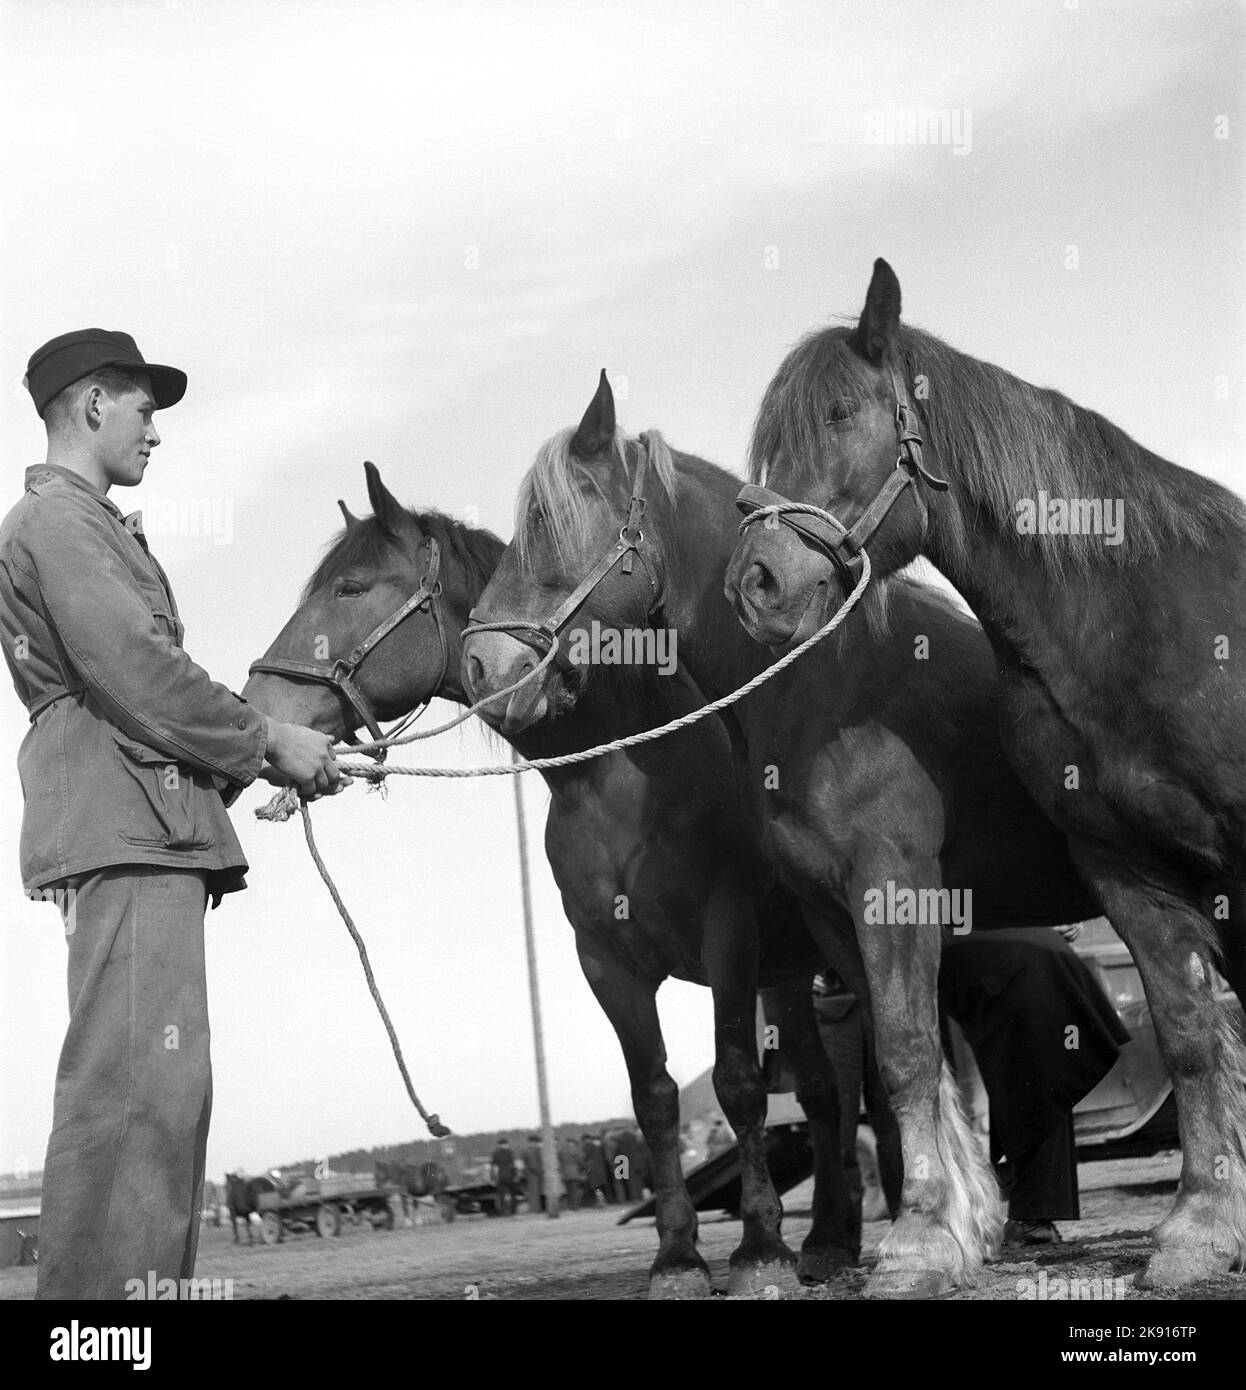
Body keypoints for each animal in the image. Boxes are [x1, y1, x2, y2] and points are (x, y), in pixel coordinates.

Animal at [241, 461, 845, 1295]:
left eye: (352, 588)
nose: (256, 706)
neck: (626, 770)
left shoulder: (729, 939)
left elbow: (738, 1085)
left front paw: (759, 1248)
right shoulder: (606, 963)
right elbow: (654, 1099)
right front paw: (679, 1256)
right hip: (788, 977)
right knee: (822, 1091)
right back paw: (830, 1240)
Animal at [458, 372, 1112, 1301]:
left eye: (547, 522)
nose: (483, 667)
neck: (822, 684)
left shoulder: (873, 896)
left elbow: (892, 1059)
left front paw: (907, 1241)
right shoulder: (825, 918)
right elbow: (889, 1067)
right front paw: (951, 1228)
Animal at [723, 255, 1246, 1284]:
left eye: (843, 413)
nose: (758, 582)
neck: (1135, 623)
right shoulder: (1128, 872)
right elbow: (1192, 1033)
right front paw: (1203, 1229)